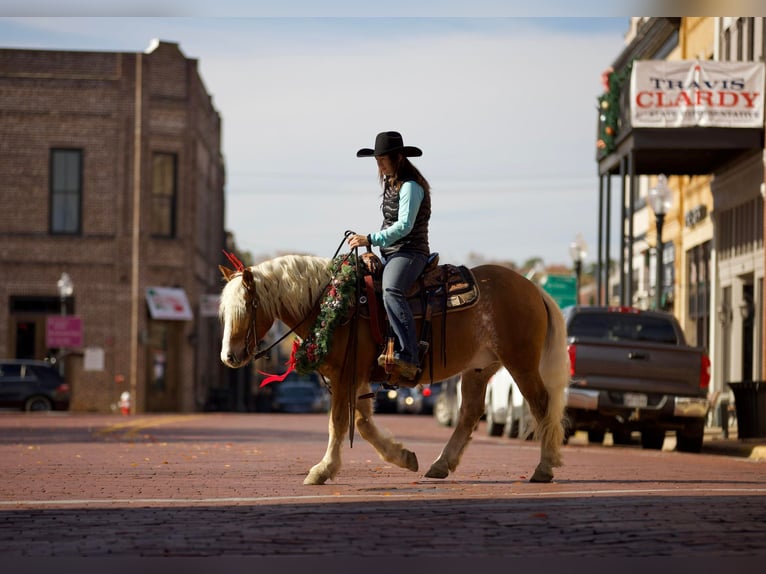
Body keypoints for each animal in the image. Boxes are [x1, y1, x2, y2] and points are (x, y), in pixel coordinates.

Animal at [218, 256, 568, 486]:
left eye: (247, 307)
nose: (228, 357)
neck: (334, 306)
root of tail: (533, 289)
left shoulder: (344, 375)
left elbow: (339, 422)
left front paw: (322, 469)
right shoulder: (355, 377)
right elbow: (362, 422)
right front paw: (403, 456)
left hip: (520, 362)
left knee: (541, 405)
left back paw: (544, 468)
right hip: (480, 368)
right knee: (469, 413)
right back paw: (441, 464)